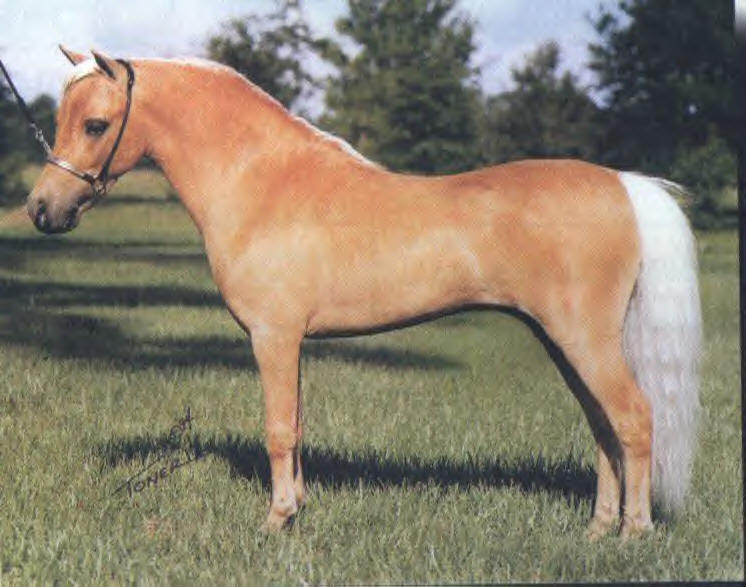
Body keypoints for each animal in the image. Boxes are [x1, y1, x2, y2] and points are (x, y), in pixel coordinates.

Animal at [26, 47, 701, 539]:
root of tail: (624, 184)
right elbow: (296, 424)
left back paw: (633, 533)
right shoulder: (291, 341)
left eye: (95, 124)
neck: (263, 183)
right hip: (564, 343)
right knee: (603, 426)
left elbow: (278, 428)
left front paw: (274, 522)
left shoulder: (274, 337)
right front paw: (296, 507)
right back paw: (597, 529)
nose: (40, 210)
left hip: (584, 340)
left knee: (634, 418)